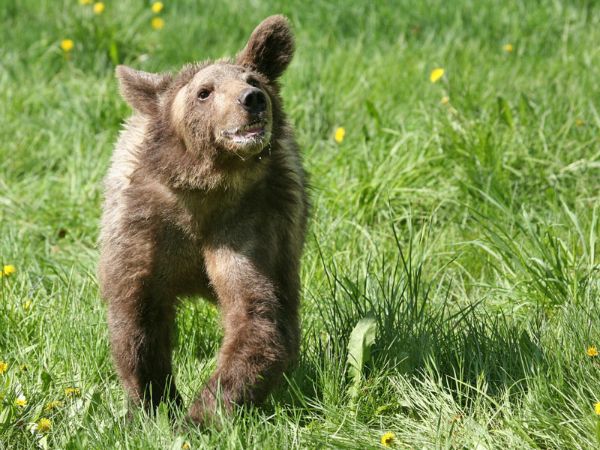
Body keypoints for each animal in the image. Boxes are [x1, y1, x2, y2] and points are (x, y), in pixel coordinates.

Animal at [98, 14, 310, 426]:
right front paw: (151, 404)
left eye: (253, 79)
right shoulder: (145, 226)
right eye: (204, 92)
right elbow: (137, 315)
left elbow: (257, 312)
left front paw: (202, 414)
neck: (206, 188)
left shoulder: (251, 221)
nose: (252, 100)